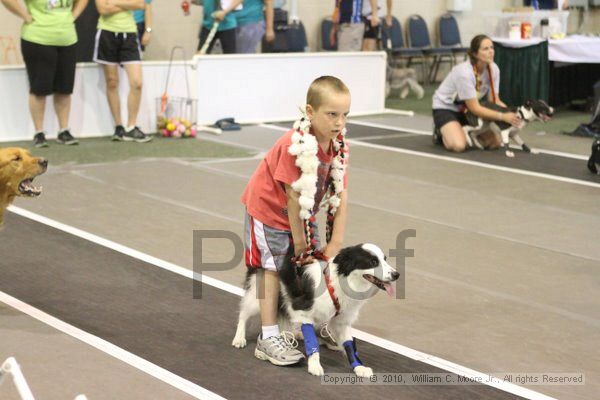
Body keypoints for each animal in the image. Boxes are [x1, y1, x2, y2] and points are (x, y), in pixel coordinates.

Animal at [232, 244, 400, 378]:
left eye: (385, 259)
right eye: (373, 262)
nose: (396, 274)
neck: (338, 284)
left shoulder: (342, 320)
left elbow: (350, 345)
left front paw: (359, 367)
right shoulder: (302, 310)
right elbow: (312, 343)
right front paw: (314, 366)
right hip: (258, 296)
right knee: (244, 314)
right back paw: (240, 339)